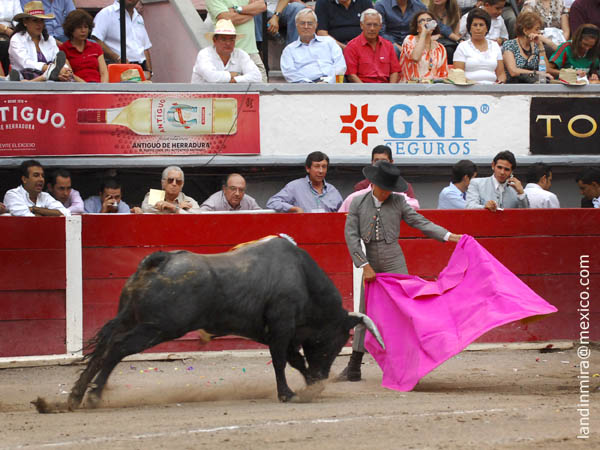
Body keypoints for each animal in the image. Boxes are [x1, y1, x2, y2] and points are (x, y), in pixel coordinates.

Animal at [68, 236, 382, 408]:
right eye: (334, 342)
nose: (322, 377)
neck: (303, 278)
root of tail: (159, 261)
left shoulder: (283, 332)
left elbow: (295, 360)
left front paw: (309, 388)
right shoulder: (282, 327)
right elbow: (282, 362)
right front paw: (289, 394)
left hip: (129, 318)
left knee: (103, 348)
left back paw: (74, 396)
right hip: (157, 328)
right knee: (118, 348)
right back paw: (93, 396)